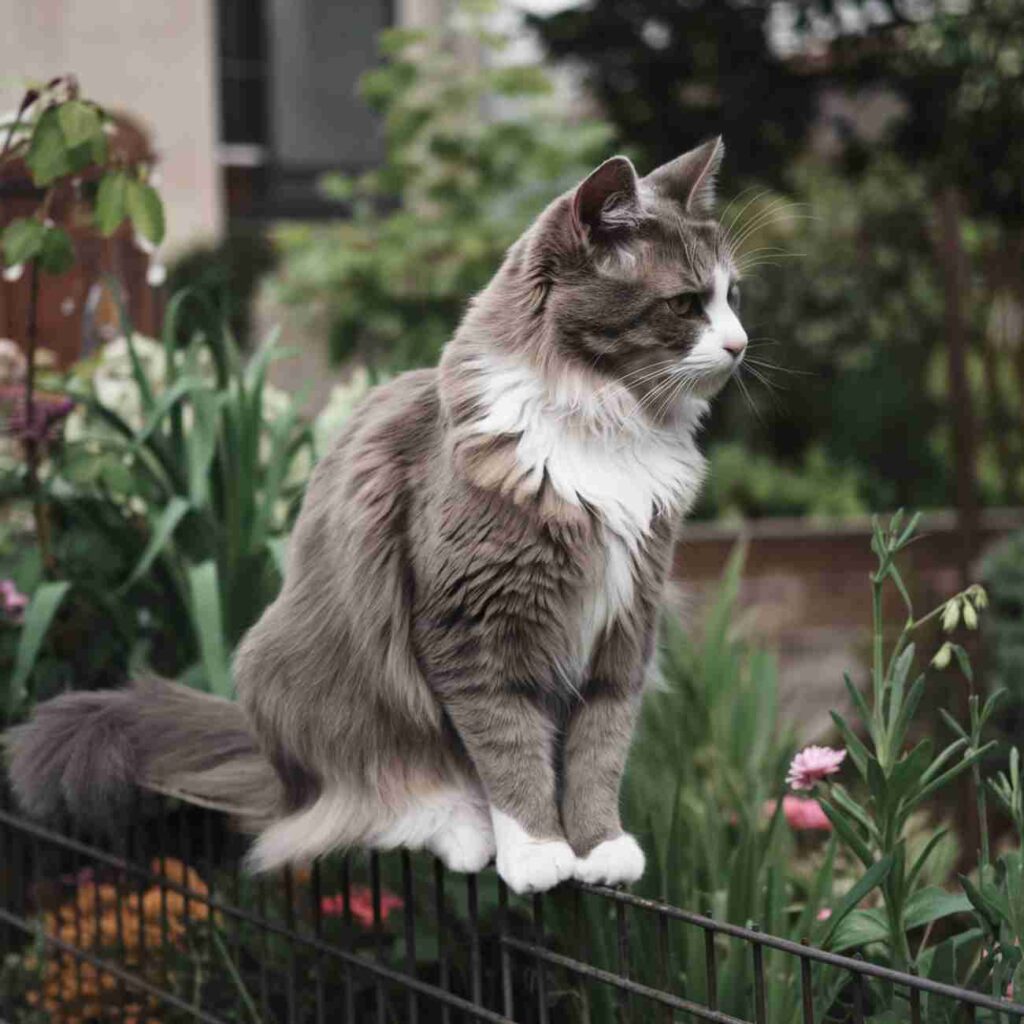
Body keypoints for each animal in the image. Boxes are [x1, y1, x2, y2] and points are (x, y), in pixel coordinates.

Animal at [4, 138, 749, 897]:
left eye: (732, 296)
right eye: (685, 304)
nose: (740, 344)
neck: (603, 424)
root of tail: (268, 760)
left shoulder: (624, 626)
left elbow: (600, 747)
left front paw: (600, 849)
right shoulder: (471, 629)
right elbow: (508, 749)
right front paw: (537, 851)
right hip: (317, 689)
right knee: (359, 806)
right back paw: (461, 828)